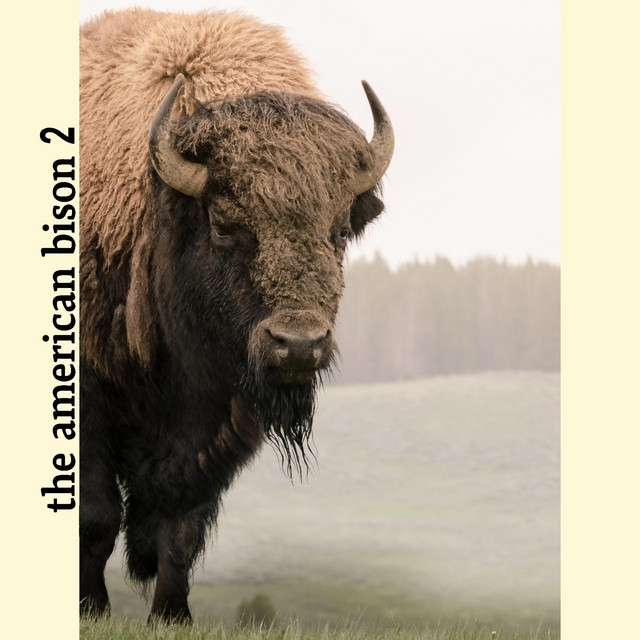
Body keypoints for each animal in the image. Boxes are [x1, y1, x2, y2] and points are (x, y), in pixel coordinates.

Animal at [80, 9, 393, 622]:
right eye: (225, 225)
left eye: (340, 230)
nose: (299, 344)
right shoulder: (92, 402)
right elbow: (96, 517)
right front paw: (92, 609)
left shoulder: (221, 423)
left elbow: (181, 528)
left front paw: (172, 614)